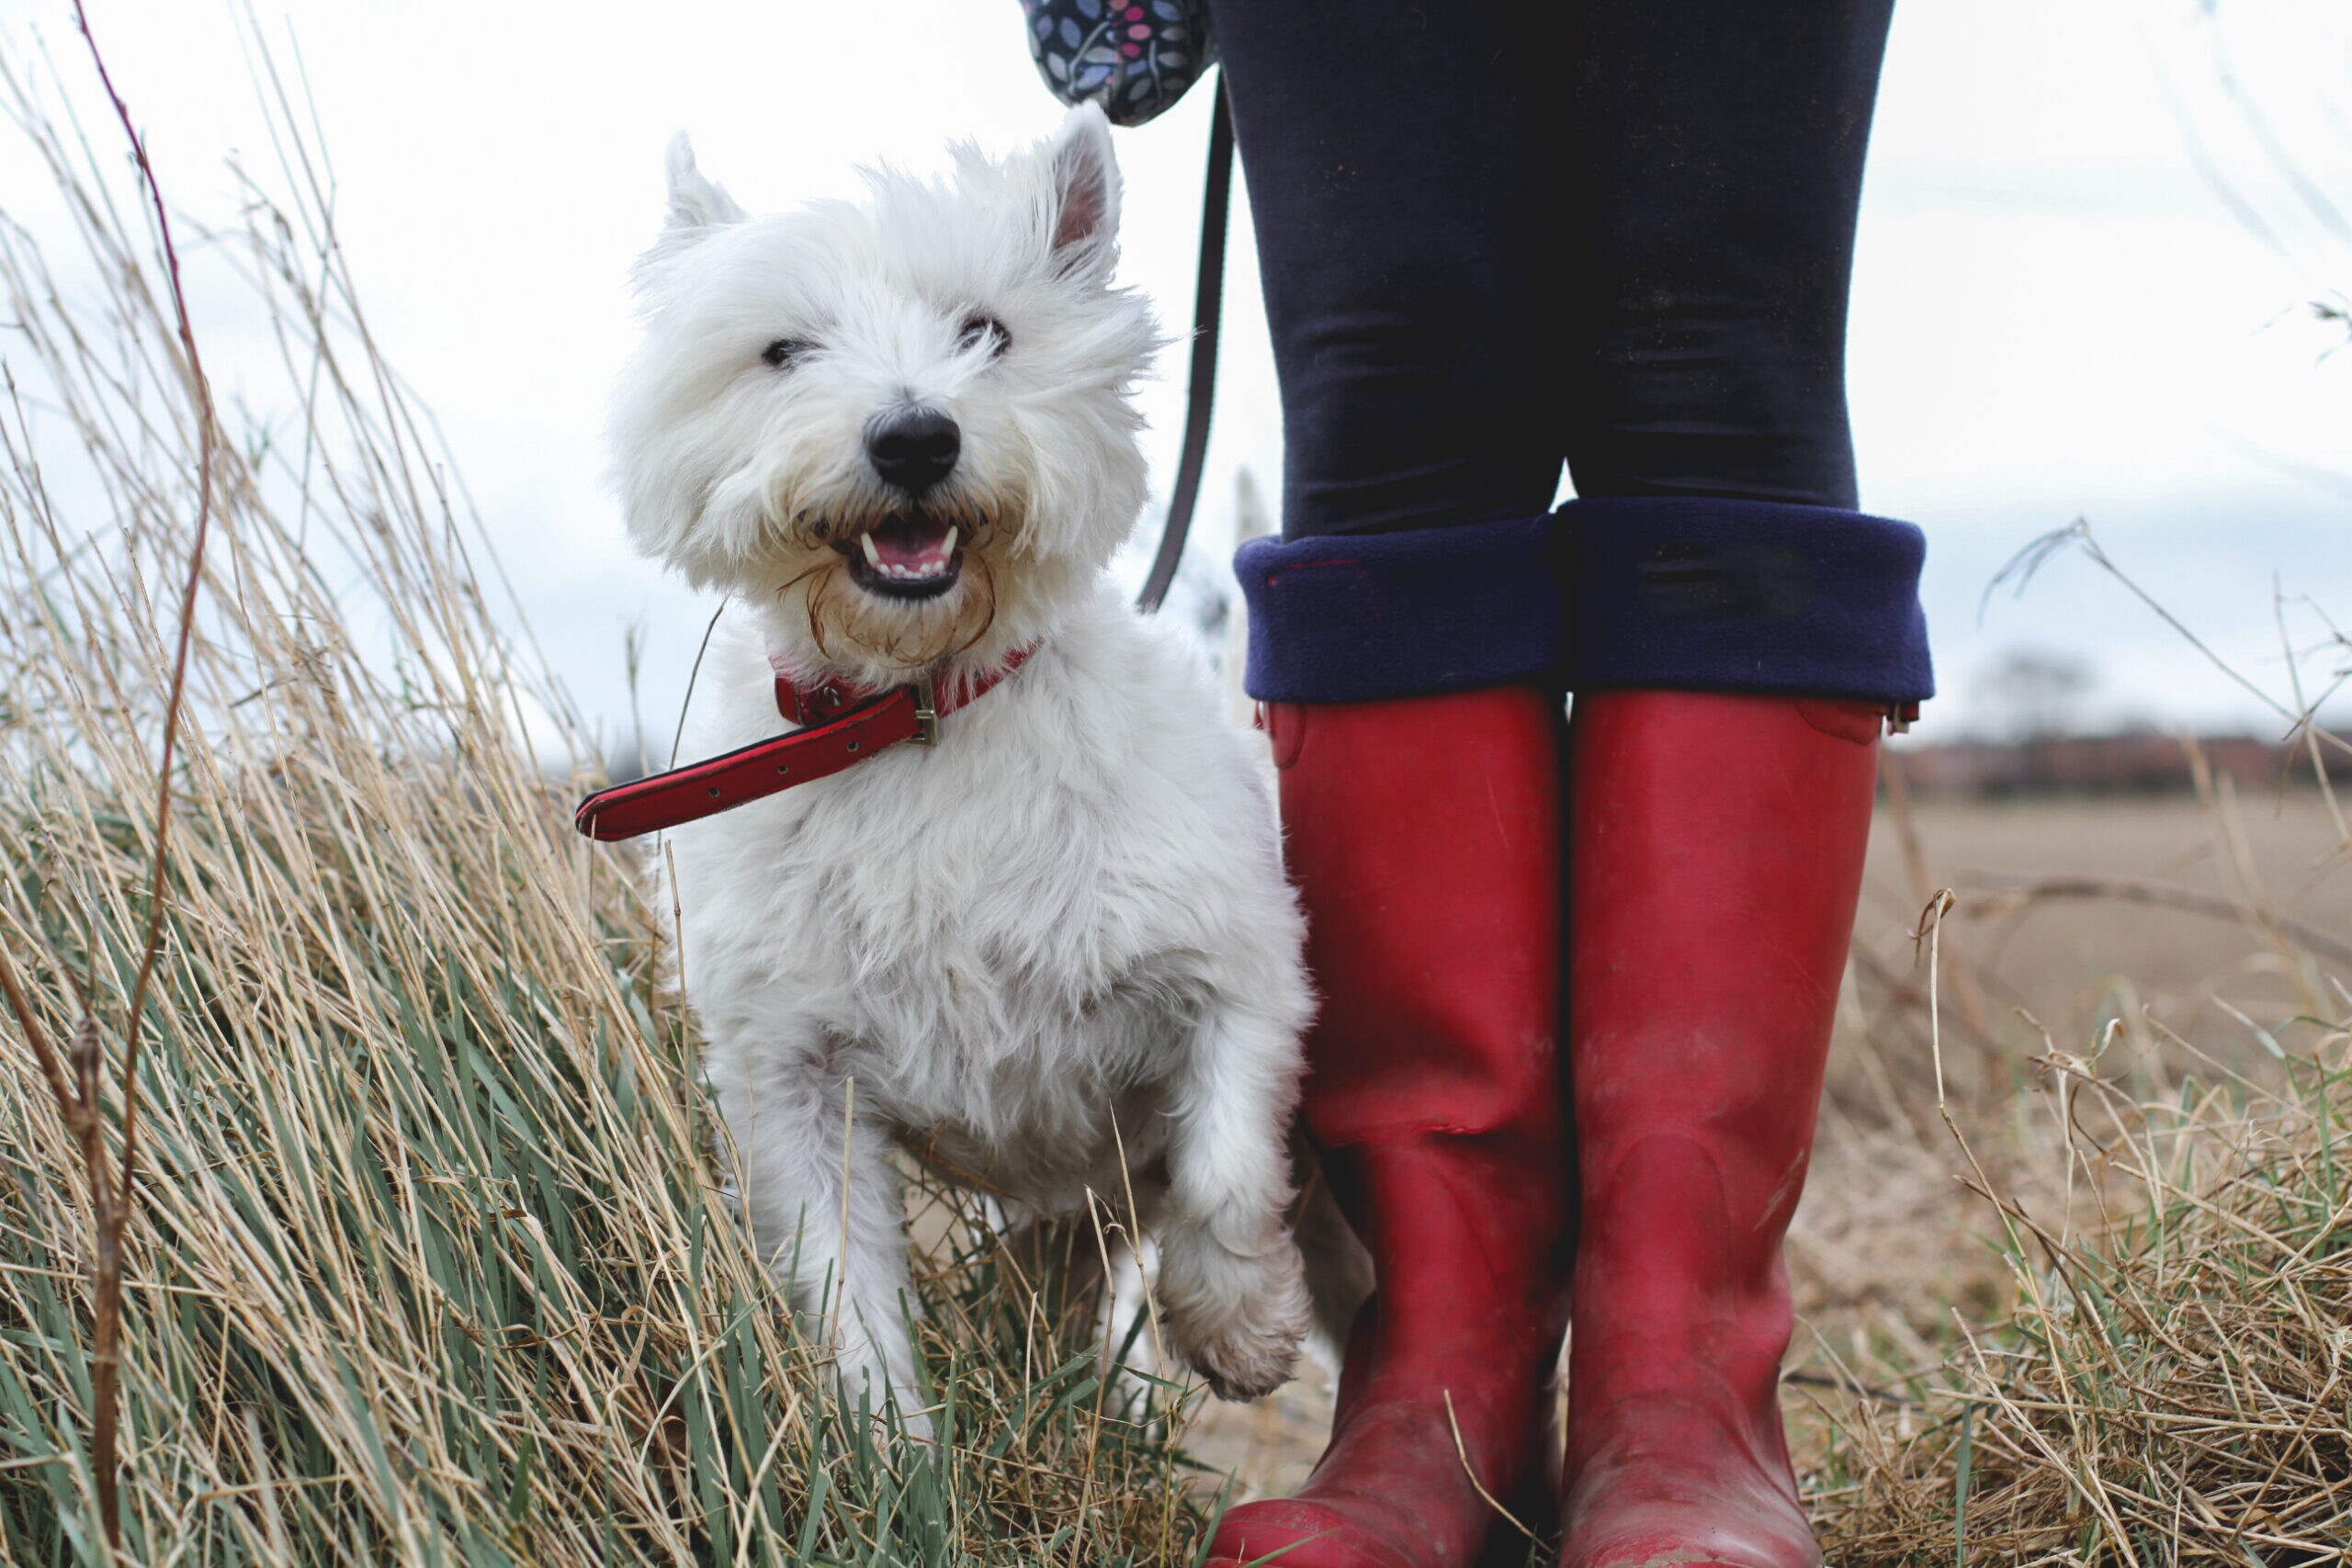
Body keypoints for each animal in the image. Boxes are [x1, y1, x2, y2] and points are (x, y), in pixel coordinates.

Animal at [616, 107, 1326, 1438]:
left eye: (987, 331)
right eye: (784, 350)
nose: (914, 436)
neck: (917, 711)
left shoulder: (1237, 966)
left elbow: (1223, 1164)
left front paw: (1240, 1325)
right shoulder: (794, 1076)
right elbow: (844, 1291)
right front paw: (891, 1449)